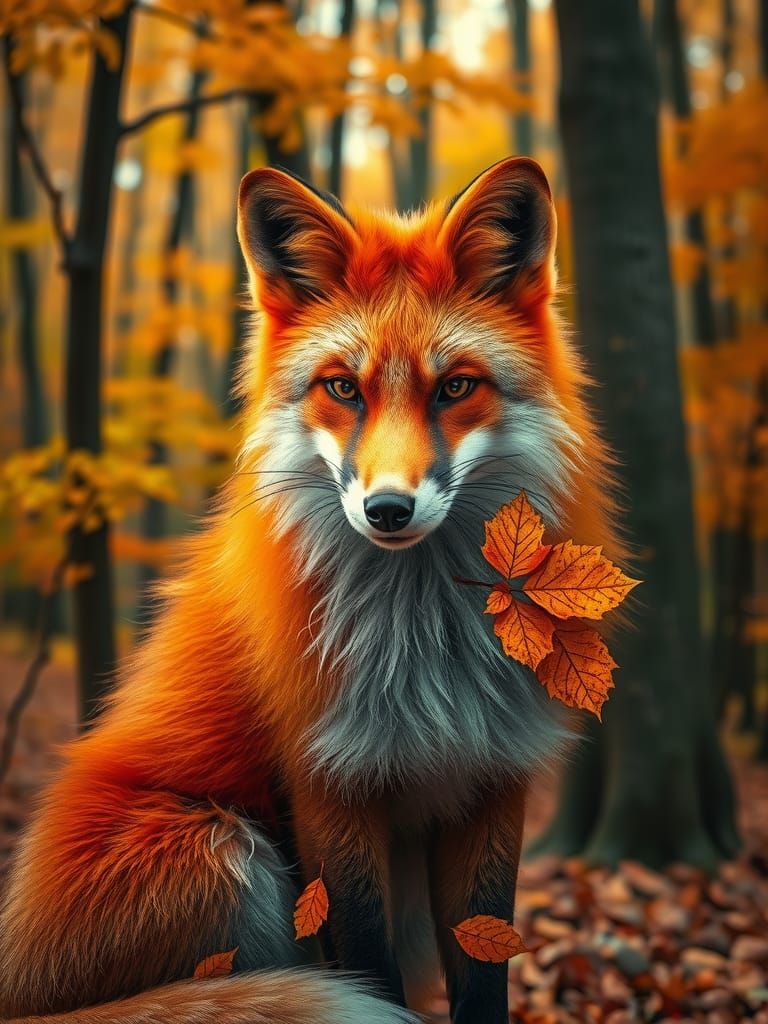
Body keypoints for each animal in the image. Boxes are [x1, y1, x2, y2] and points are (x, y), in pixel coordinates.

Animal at [0, 157, 620, 1024]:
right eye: (344, 388)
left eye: (456, 388)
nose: (388, 509)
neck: (425, 651)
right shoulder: (330, 782)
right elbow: (365, 963)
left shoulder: (494, 779)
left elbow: (483, 975)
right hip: (226, 851)